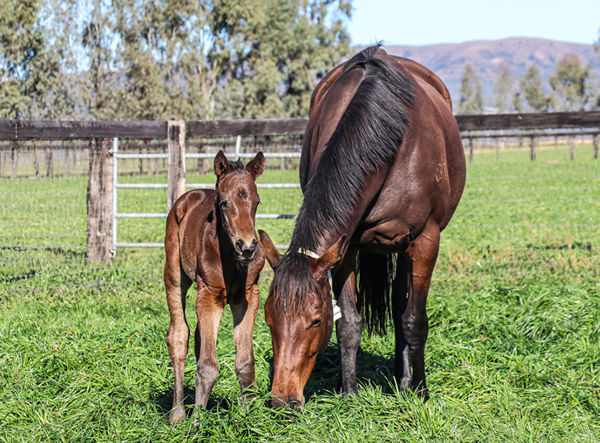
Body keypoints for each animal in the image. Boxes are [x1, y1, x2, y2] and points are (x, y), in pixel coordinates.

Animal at [165, 151, 266, 424]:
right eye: (223, 203)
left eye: (257, 202)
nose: (247, 247)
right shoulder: (209, 296)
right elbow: (208, 366)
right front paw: (197, 423)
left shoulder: (247, 296)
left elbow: (245, 362)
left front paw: (249, 420)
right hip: (174, 274)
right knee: (179, 333)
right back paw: (177, 414)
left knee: (200, 337)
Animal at [260, 46, 466, 410]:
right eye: (269, 318)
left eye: (315, 320)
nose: (282, 400)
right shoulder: (346, 246)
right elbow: (349, 322)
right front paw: (349, 392)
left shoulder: (426, 241)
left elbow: (415, 320)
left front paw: (421, 390)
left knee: (402, 307)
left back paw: (405, 381)